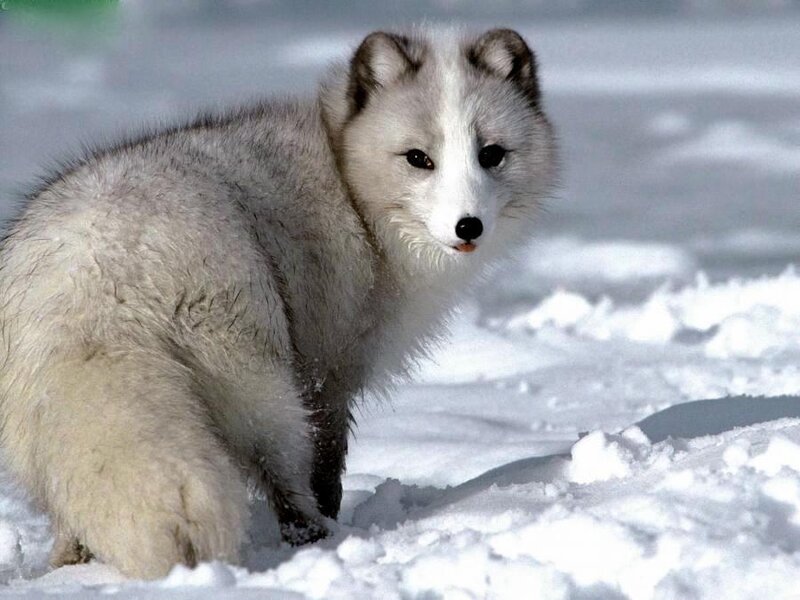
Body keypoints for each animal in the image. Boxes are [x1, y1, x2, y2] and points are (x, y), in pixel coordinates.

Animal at [0, 27, 557, 578]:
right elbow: (327, 463)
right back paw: (316, 537)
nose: (469, 226)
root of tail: (96, 274)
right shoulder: (329, 371)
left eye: (492, 154)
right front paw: (331, 517)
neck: (350, 185)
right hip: (259, 384)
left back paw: (69, 566)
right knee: (284, 476)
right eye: (419, 158)